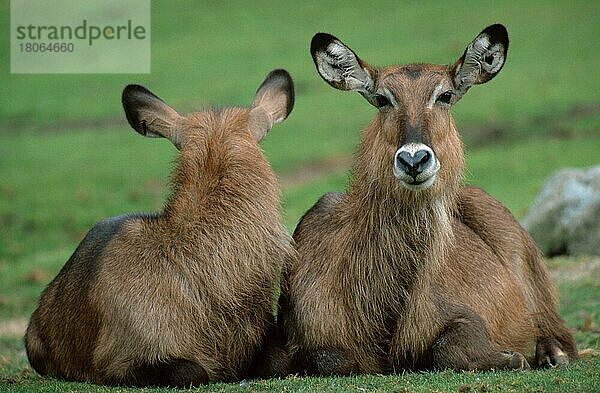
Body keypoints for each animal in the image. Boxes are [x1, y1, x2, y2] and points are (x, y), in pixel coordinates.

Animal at [282, 23, 576, 374]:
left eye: (445, 95)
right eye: (382, 98)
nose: (414, 160)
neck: (385, 315)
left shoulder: (462, 315)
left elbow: (446, 347)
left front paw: (513, 356)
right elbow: (329, 358)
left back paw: (551, 354)